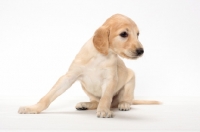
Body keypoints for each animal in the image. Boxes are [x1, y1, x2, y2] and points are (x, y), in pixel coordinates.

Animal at [18, 14, 159, 117]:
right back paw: (85, 104)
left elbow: (106, 97)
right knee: (96, 102)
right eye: (124, 34)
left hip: (131, 79)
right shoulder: (69, 77)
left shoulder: (110, 79)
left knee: (124, 99)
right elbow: (48, 96)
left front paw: (104, 110)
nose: (141, 51)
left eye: (138, 34)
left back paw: (124, 104)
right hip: (86, 88)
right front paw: (33, 108)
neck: (100, 57)